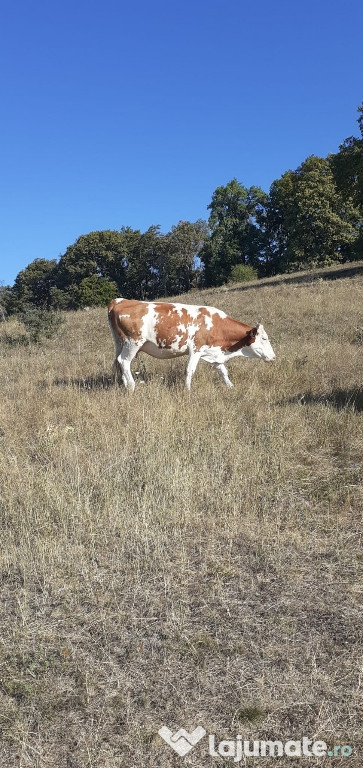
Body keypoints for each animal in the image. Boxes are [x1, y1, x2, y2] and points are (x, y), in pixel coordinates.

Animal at [108, 296, 276, 390]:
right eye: (264, 338)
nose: (274, 357)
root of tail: (119, 301)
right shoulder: (196, 349)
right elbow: (190, 370)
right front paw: (188, 390)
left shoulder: (214, 352)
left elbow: (223, 370)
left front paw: (231, 387)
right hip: (133, 342)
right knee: (124, 361)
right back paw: (132, 386)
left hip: (120, 343)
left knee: (119, 362)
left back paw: (125, 385)